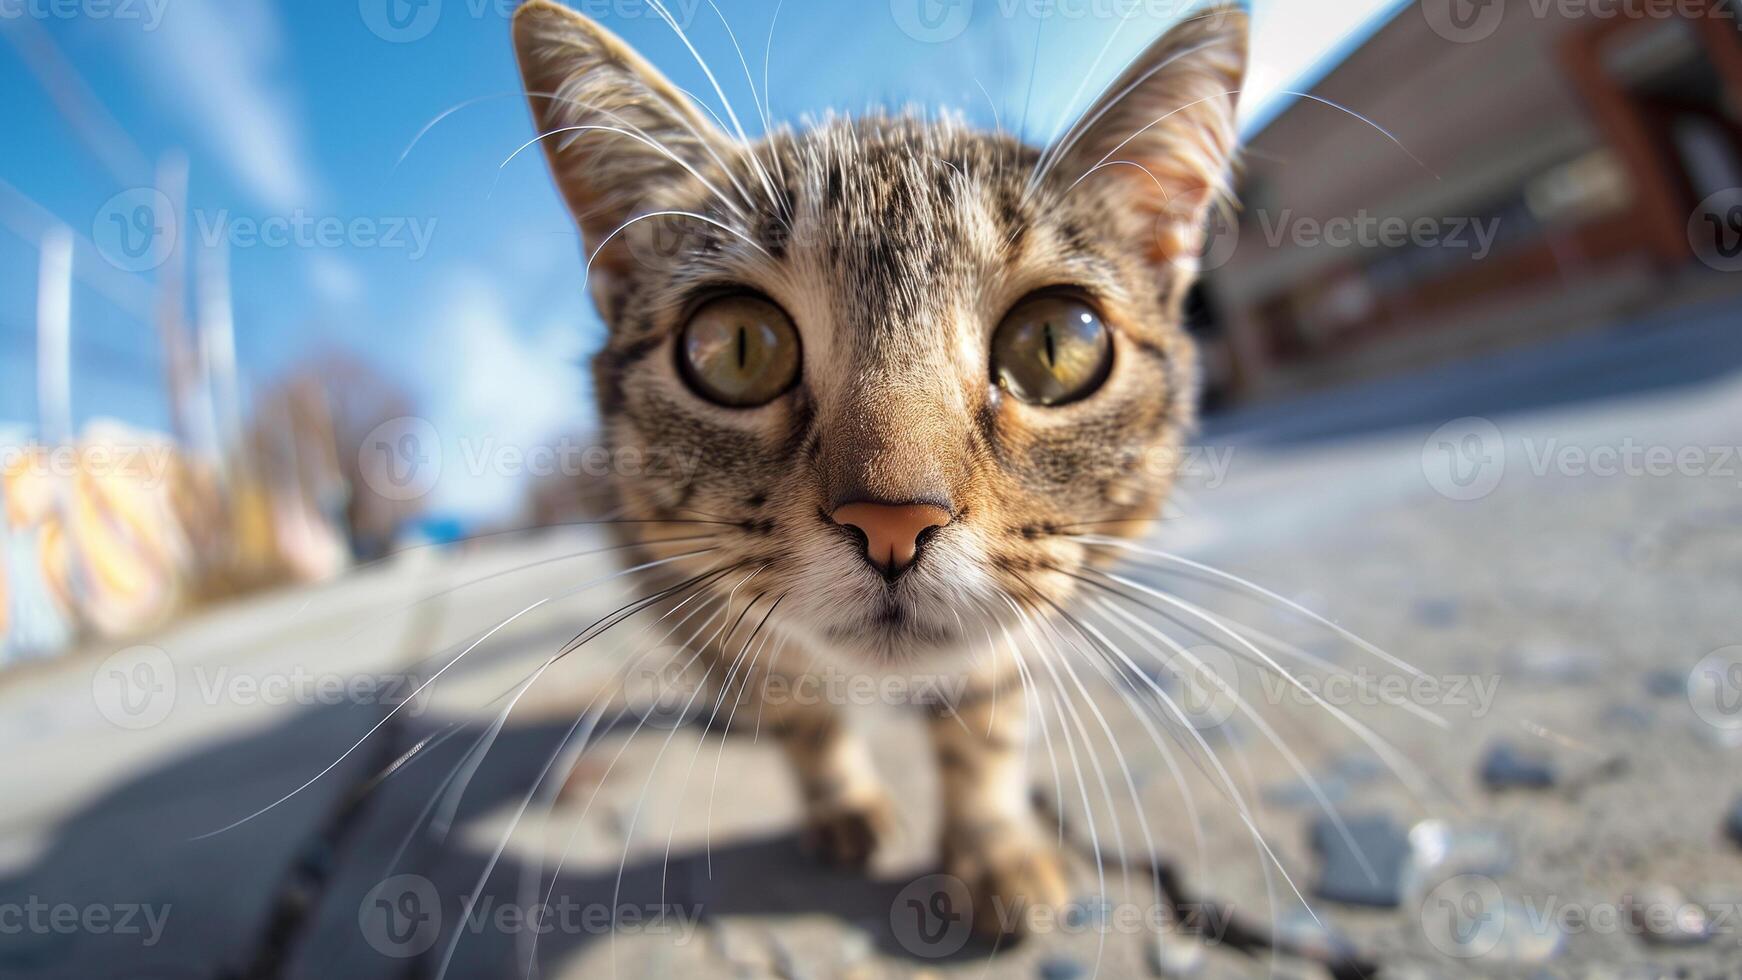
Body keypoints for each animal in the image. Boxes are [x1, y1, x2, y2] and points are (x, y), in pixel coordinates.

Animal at [508, 0, 1247, 933]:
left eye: (1055, 344)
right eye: (735, 346)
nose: (894, 517)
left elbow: (987, 716)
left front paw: (994, 843)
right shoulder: (684, 574)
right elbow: (797, 706)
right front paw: (842, 800)